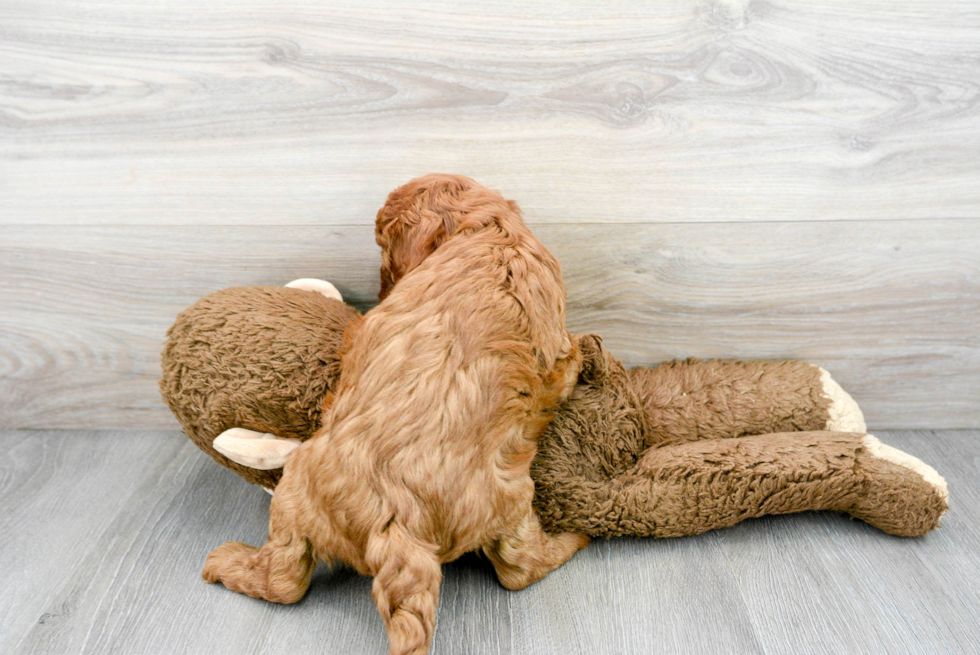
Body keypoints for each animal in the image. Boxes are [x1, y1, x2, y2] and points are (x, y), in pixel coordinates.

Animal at [203, 176, 584, 655]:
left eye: (382, 245)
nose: (380, 286)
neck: (492, 233)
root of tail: (401, 522)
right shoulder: (556, 347)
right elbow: (568, 364)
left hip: (294, 495)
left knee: (284, 579)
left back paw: (224, 562)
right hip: (512, 502)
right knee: (519, 569)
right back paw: (571, 541)